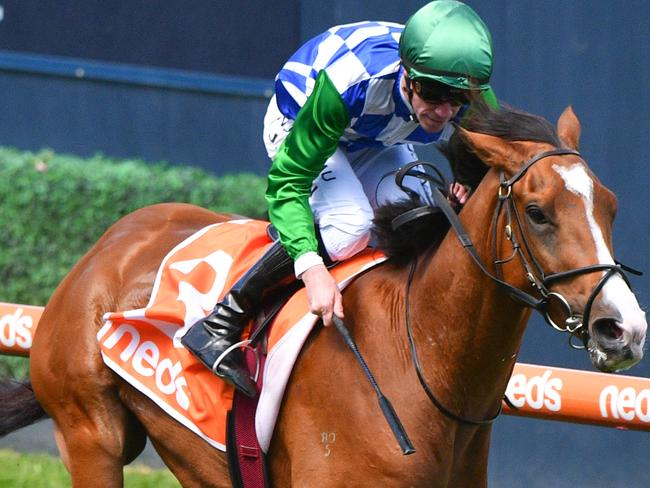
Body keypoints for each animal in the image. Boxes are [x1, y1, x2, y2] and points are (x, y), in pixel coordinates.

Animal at [0, 102, 644, 484]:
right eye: (537, 212)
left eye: (611, 205)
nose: (624, 329)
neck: (419, 360)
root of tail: (106, 245)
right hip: (91, 434)